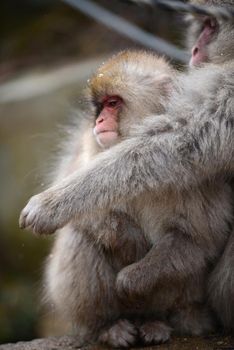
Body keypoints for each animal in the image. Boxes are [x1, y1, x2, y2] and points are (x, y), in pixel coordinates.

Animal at [20, 0, 234, 340]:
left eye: (113, 103)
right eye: (98, 107)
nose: (98, 121)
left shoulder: (202, 186)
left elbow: (198, 239)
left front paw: (131, 278)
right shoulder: (86, 146)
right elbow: (88, 218)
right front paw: (124, 235)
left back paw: (158, 322)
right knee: (80, 237)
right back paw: (107, 327)